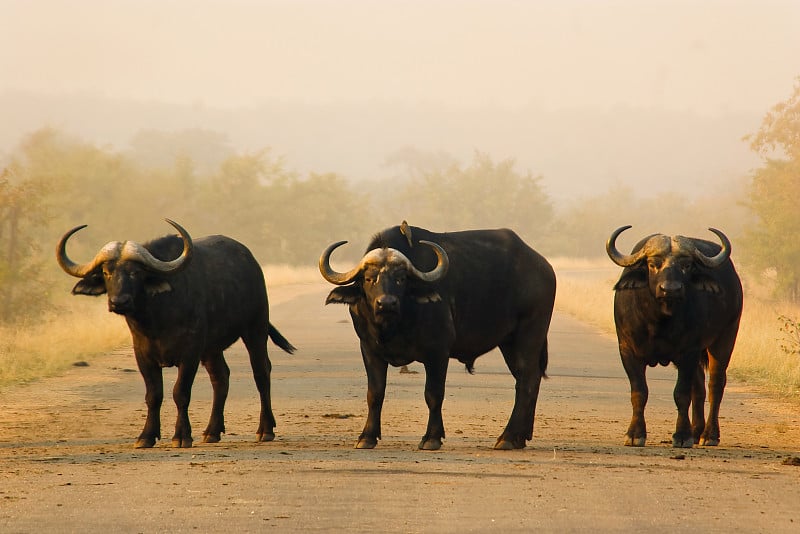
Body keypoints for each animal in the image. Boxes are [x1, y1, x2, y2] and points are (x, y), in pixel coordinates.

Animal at [56, 220, 296, 450]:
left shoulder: (190, 353)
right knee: (220, 377)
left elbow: (180, 392)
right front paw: (146, 436)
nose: (118, 302)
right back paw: (212, 431)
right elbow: (153, 395)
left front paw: (181, 436)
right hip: (212, 348)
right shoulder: (143, 355)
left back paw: (265, 430)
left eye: (136, 272)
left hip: (255, 329)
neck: (156, 320)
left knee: (261, 372)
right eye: (107, 272)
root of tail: (251, 263)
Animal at [318, 225, 556, 452]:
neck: (395, 325)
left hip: (529, 334)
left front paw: (431, 438)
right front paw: (366, 437)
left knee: (527, 380)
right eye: (369, 278)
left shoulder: (438, 352)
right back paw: (520, 437)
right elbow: (375, 393)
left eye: (401, 279)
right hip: (509, 342)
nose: (386, 303)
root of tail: (543, 267)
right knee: (527, 379)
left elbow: (433, 394)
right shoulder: (369, 350)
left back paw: (507, 438)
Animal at [608, 225, 744, 448]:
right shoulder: (628, 350)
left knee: (715, 385)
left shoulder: (688, 352)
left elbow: (681, 394)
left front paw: (681, 435)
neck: (659, 321)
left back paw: (709, 435)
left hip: (725, 338)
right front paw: (635, 434)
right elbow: (639, 392)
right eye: (653, 264)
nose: (670, 289)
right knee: (699, 388)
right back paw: (697, 431)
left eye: (686, 265)